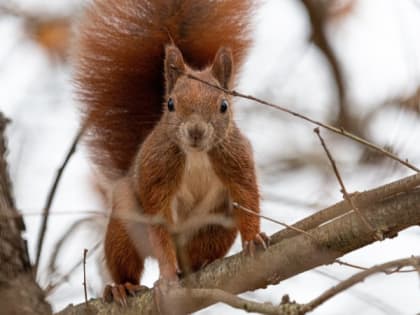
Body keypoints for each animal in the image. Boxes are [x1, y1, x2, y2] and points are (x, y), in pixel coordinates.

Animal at [74, 0, 268, 304]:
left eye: (224, 105)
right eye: (171, 104)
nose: (196, 131)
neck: (196, 154)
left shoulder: (236, 158)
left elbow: (247, 195)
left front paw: (253, 239)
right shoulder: (158, 172)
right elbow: (160, 223)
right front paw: (165, 279)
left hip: (217, 225)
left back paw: (198, 265)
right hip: (125, 223)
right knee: (127, 260)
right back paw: (122, 287)